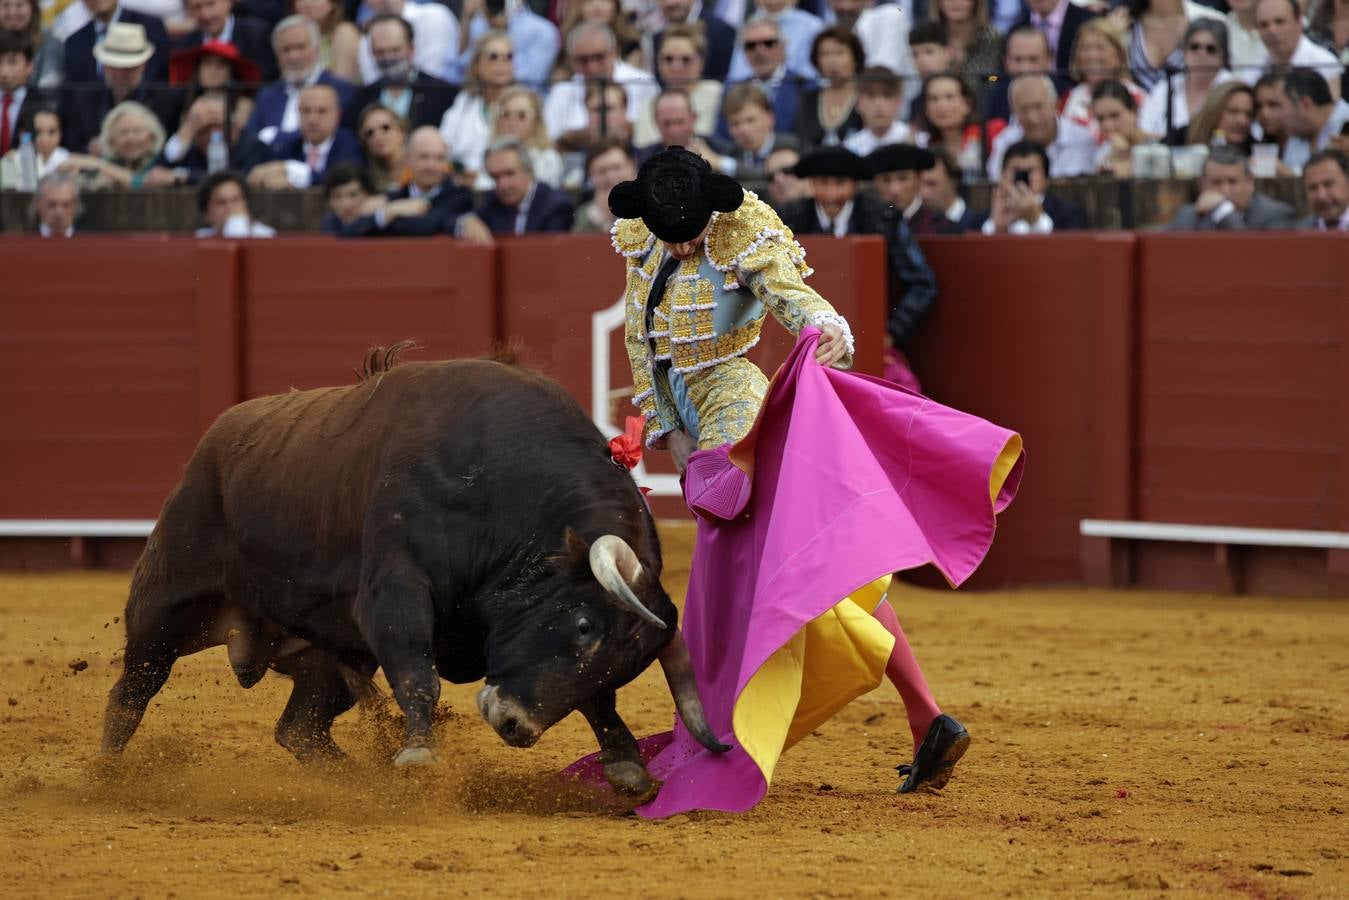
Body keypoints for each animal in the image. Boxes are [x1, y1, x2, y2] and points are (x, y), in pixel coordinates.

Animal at [99, 348, 728, 798]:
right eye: (583, 627)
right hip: (164, 602)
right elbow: (417, 672)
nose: (514, 726)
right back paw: (103, 779)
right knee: (133, 690)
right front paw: (419, 755)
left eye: (631, 665)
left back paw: (357, 783)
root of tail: (217, 438)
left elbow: (596, 702)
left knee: (300, 727)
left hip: (332, 656)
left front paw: (626, 765)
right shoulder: (393, 590)